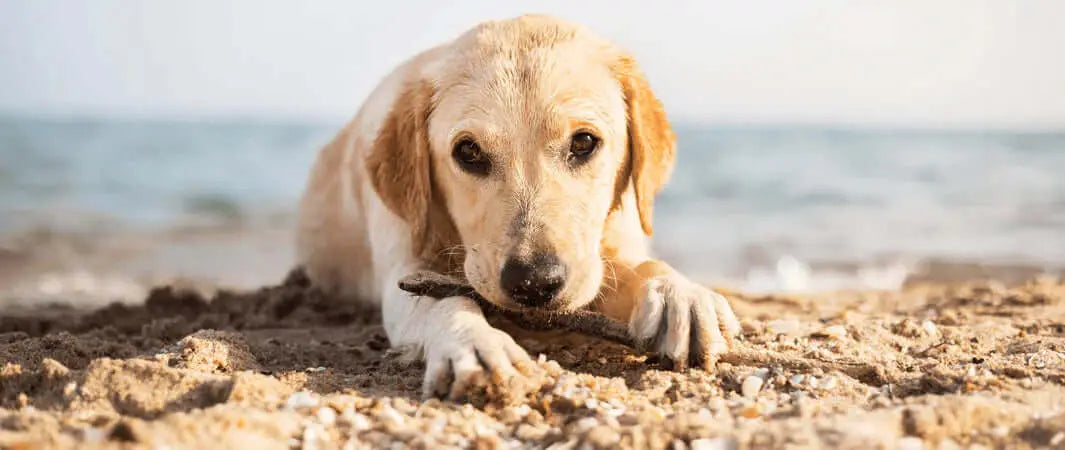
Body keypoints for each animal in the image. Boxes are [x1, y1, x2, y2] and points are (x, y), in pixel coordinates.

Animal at [296, 14, 736, 402]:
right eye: (468, 152)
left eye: (584, 142)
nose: (534, 282)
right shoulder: (403, 270)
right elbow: (444, 301)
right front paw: (474, 343)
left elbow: (642, 266)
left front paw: (679, 294)